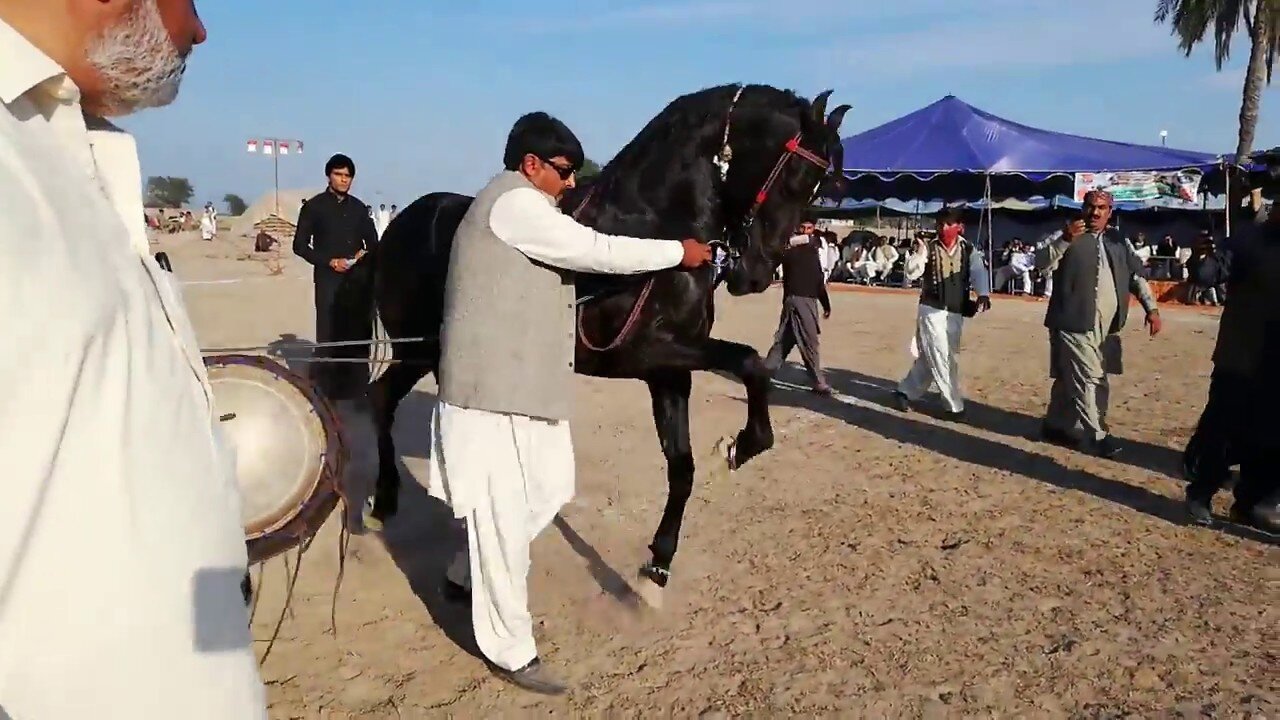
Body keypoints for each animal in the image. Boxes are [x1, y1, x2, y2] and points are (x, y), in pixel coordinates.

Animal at [366, 81, 855, 602]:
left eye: (819, 189)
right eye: (796, 180)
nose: (757, 273)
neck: (649, 227)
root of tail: (405, 221)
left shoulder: (669, 371)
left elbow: (681, 465)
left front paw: (657, 567)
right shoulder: (637, 353)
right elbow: (749, 362)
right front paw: (740, 445)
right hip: (419, 350)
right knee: (385, 400)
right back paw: (388, 503)